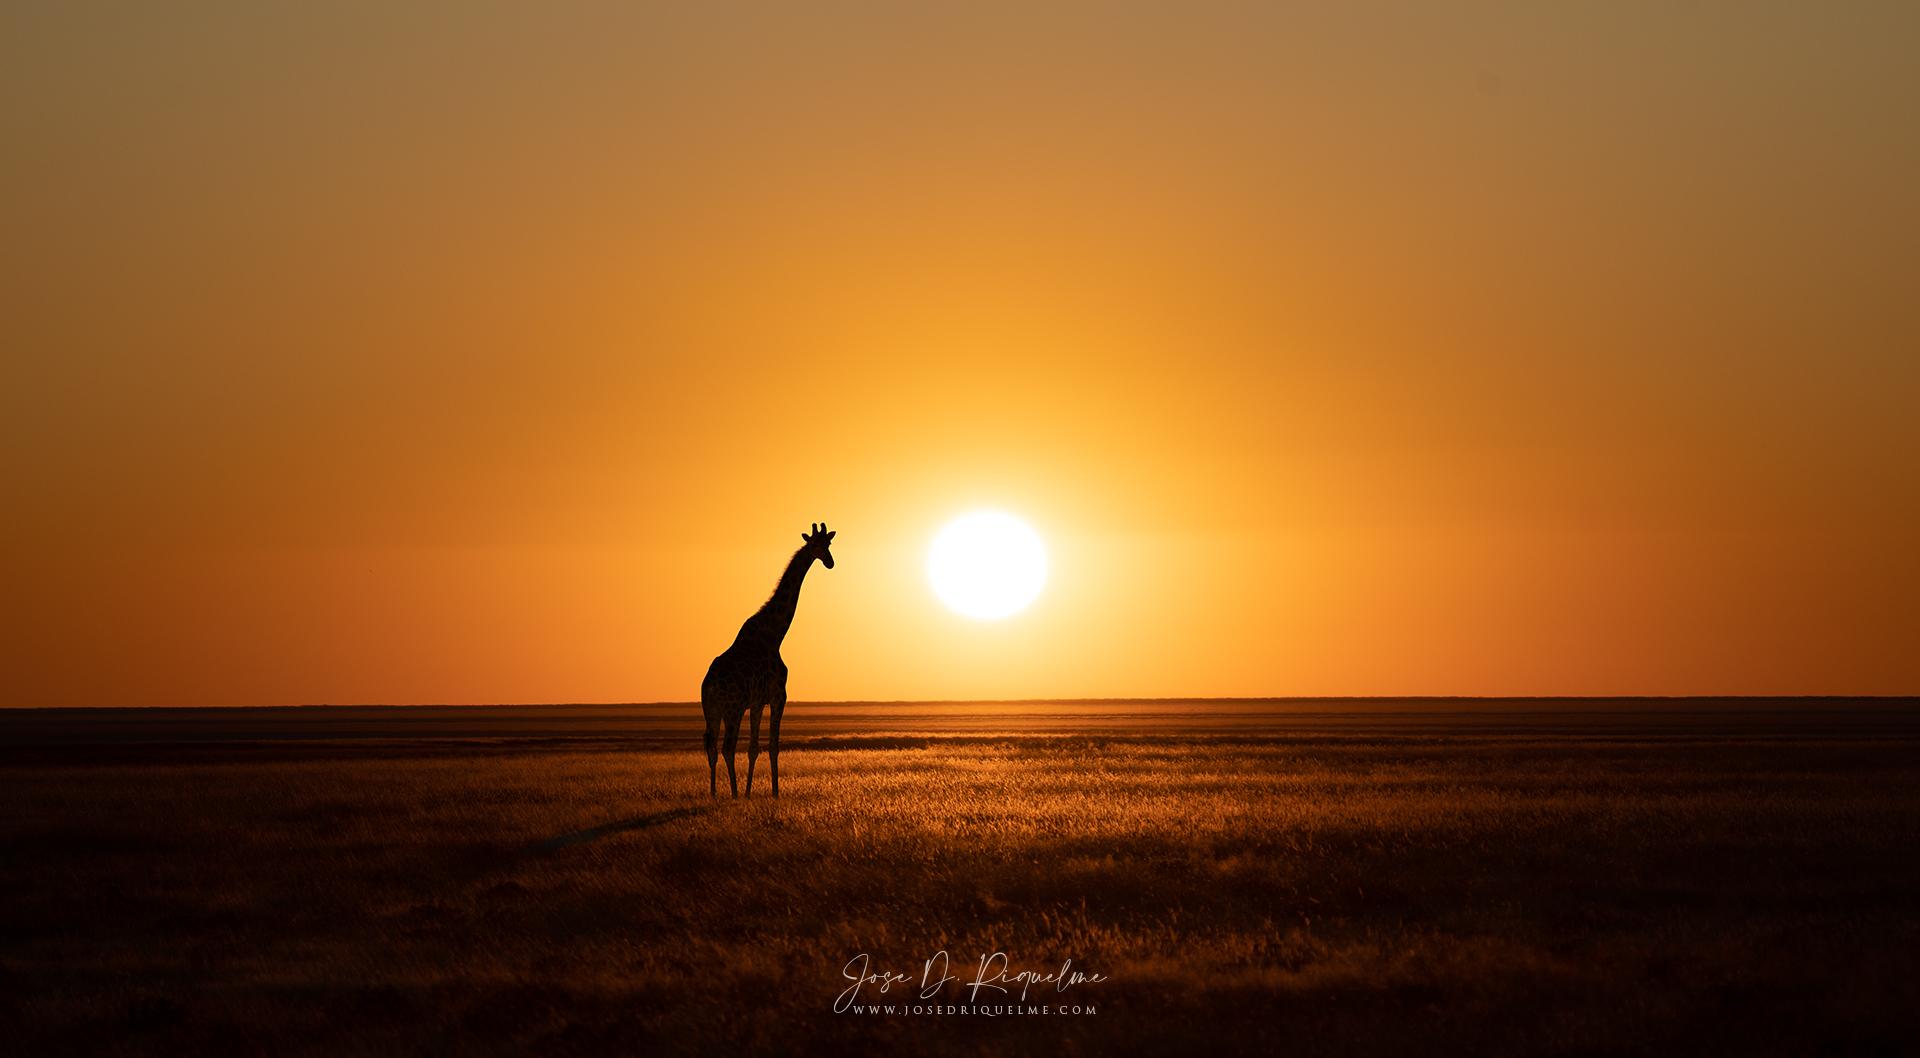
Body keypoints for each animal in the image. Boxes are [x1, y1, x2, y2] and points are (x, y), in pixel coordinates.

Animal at [701, 522, 836, 798]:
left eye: (828, 544)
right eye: (815, 545)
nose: (830, 562)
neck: (775, 635)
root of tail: (709, 684)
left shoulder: (756, 702)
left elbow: (754, 747)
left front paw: (750, 791)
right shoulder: (778, 695)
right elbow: (773, 745)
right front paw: (773, 791)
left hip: (712, 710)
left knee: (711, 747)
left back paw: (715, 793)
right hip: (732, 708)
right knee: (727, 747)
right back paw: (732, 793)